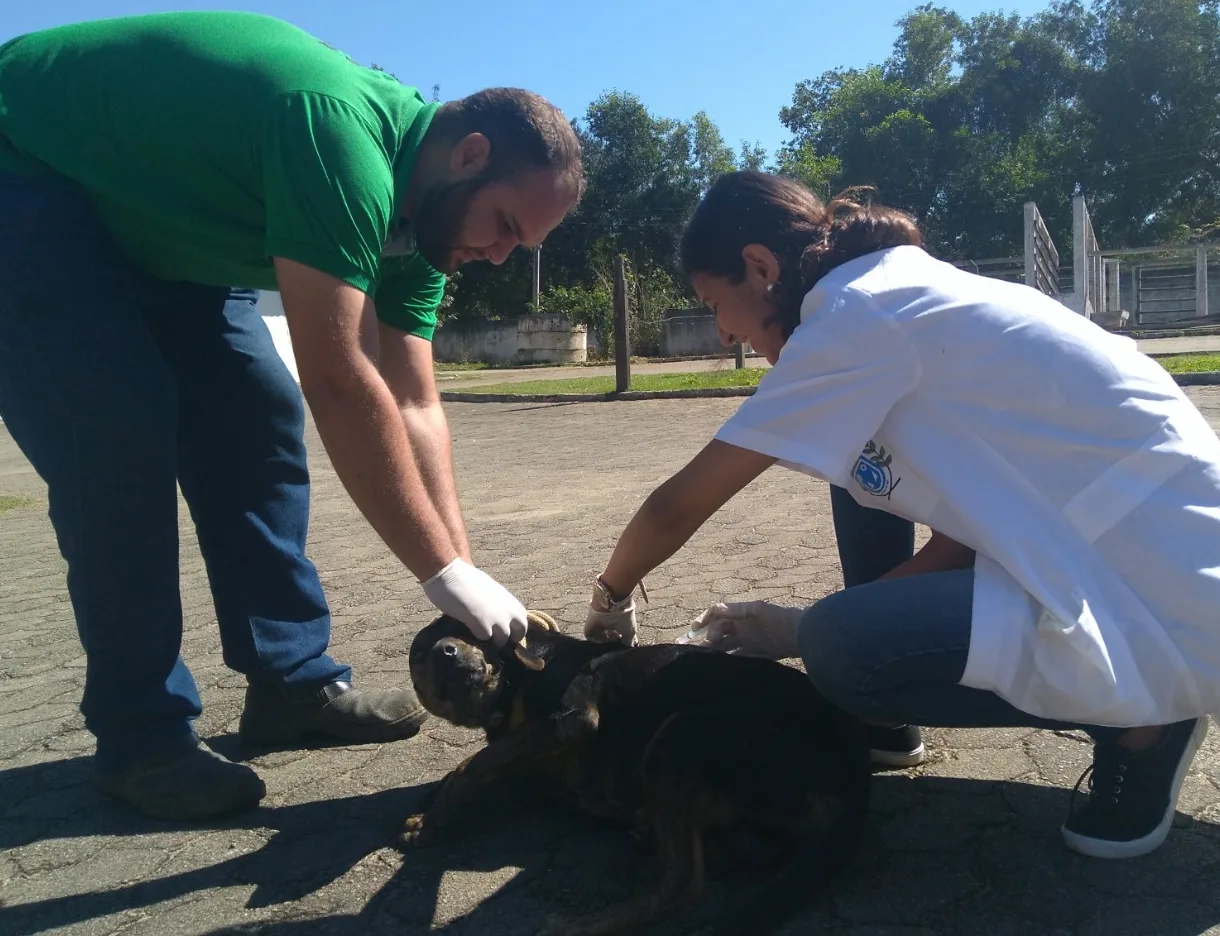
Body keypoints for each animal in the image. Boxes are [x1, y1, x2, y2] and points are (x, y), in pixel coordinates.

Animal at [405, 610, 873, 932]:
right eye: (418, 656)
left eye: (466, 630)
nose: (445, 651)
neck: (512, 685)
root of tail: (854, 764)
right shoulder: (529, 769)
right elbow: (476, 769)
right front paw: (428, 812)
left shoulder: (569, 721)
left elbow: (469, 765)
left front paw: (431, 818)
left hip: (679, 733)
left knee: (685, 883)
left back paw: (582, 926)